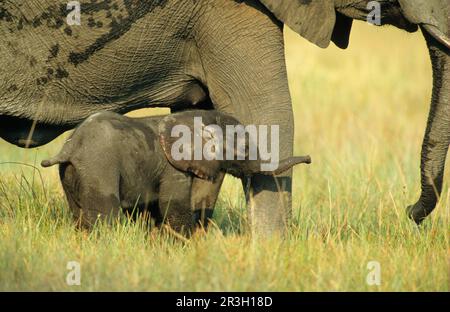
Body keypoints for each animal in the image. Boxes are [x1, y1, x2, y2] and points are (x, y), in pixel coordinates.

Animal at [41, 109, 310, 234]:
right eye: (243, 150)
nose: (309, 159)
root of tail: (69, 148)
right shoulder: (174, 168)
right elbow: (174, 204)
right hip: (99, 166)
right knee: (104, 213)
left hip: (72, 173)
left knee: (78, 214)